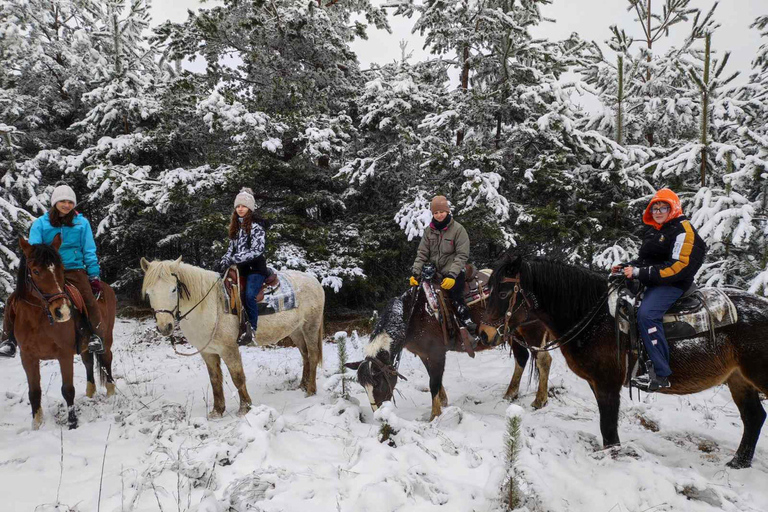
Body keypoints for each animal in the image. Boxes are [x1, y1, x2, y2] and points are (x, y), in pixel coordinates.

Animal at [6, 238, 117, 430]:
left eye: (61, 268)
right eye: (35, 271)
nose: (62, 311)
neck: (38, 319)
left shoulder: (64, 354)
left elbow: (68, 389)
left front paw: (72, 423)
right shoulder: (27, 356)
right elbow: (34, 392)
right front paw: (36, 425)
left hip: (106, 338)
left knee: (106, 359)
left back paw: (111, 393)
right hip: (85, 346)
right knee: (88, 362)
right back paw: (90, 393)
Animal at [141, 256, 324, 416]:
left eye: (174, 289)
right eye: (149, 293)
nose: (165, 327)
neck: (210, 305)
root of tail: (314, 281)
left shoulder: (229, 349)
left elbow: (238, 377)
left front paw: (245, 408)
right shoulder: (208, 352)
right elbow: (215, 379)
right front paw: (217, 411)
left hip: (310, 327)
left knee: (313, 355)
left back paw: (310, 390)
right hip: (296, 330)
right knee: (305, 356)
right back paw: (302, 385)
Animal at [480, 254, 768, 470]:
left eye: (504, 293)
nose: (484, 333)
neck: (594, 317)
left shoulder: (608, 383)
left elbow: (608, 427)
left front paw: (613, 458)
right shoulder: (597, 383)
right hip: (738, 379)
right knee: (754, 417)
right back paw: (738, 463)